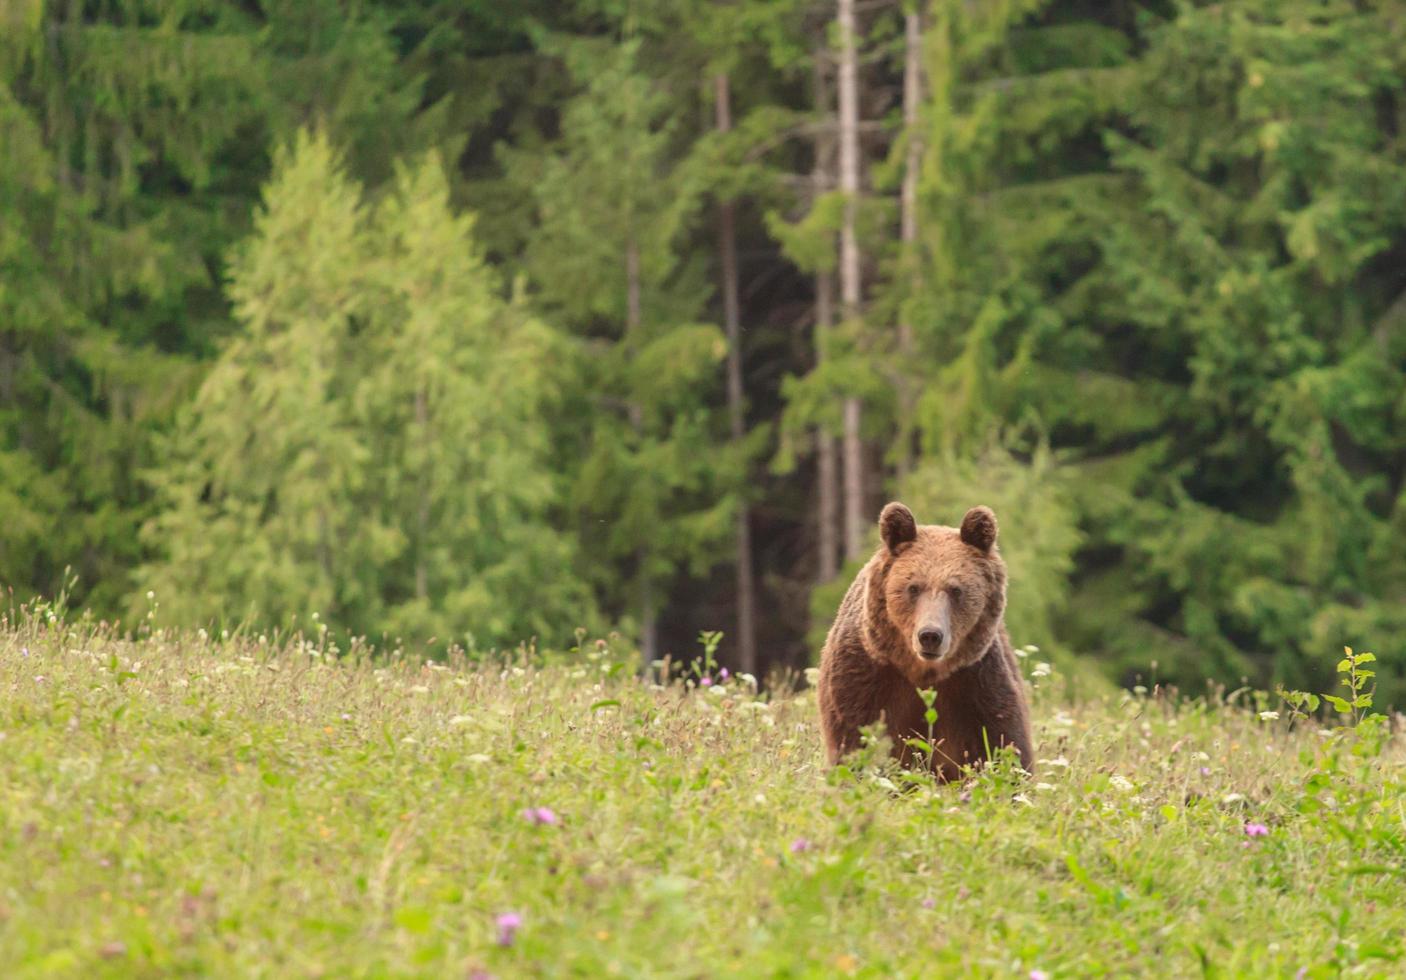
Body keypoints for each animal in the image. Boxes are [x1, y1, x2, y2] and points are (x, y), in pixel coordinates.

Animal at [815, 497, 1034, 781]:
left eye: (956, 589)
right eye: (913, 587)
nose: (930, 635)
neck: (923, 672)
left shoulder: (976, 683)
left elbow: (1004, 746)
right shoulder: (863, 679)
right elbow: (854, 742)